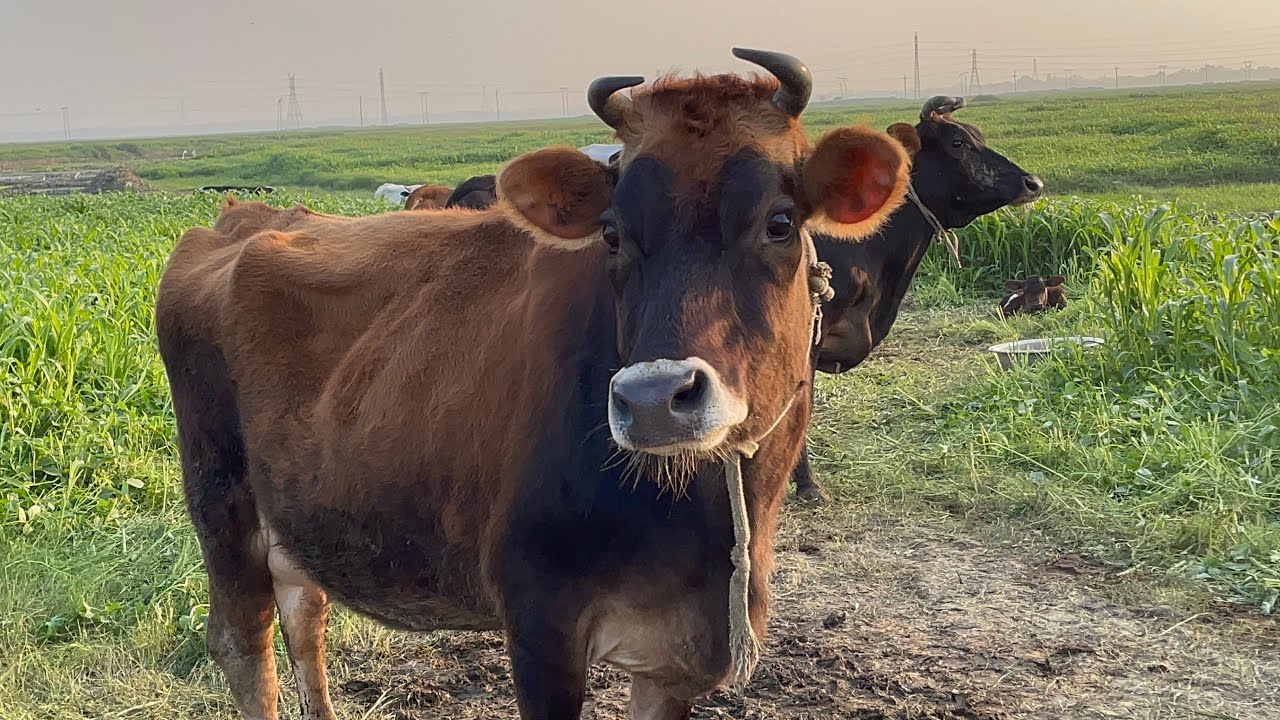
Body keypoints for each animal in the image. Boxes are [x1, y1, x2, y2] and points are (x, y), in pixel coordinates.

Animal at [155, 48, 912, 720]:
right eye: (611, 232)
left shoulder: (676, 655)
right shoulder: (541, 627)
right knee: (244, 648)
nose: (652, 400)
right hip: (221, 506)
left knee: (304, 617)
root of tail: (244, 218)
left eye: (780, 223)